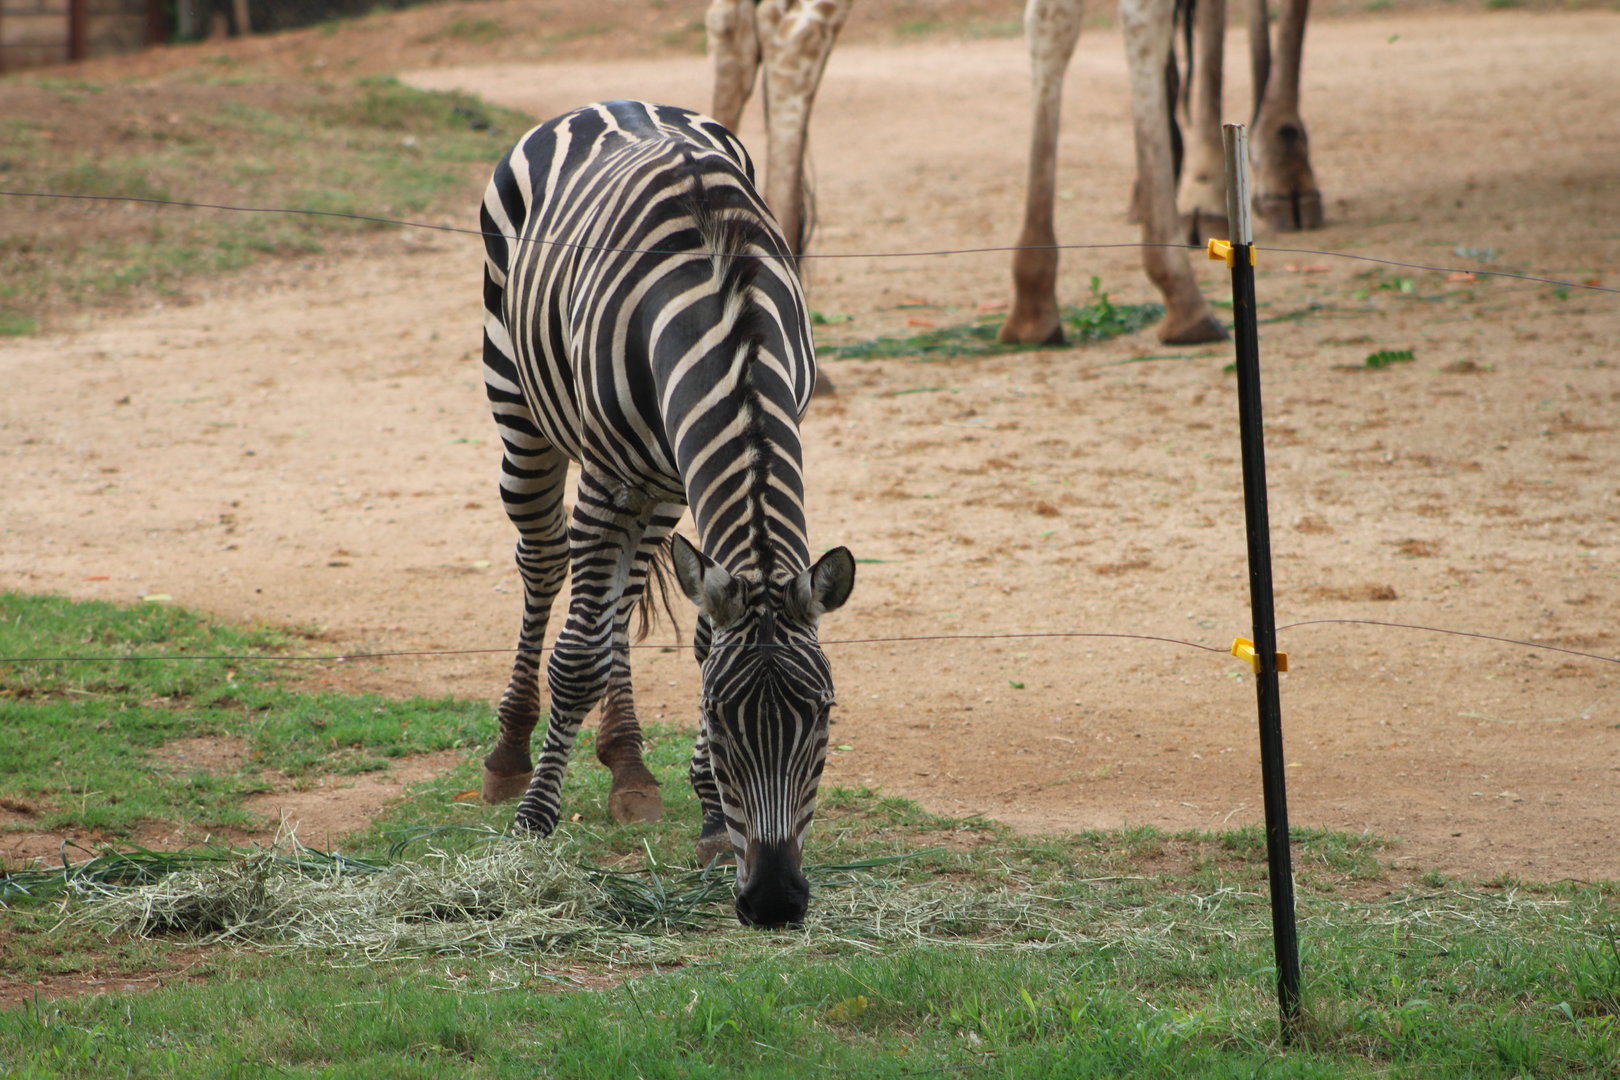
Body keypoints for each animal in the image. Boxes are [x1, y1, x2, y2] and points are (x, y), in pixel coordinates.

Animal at [475, 99, 856, 928]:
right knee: (544, 564)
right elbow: (576, 658)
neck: (728, 316)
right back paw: (511, 754)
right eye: (718, 715)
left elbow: (702, 636)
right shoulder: (610, 478)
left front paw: (710, 818)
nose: (774, 903)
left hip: (661, 485)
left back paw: (628, 766)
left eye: (823, 717)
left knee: (621, 594)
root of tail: (608, 102)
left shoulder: (694, 475)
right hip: (521, 409)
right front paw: (534, 821)